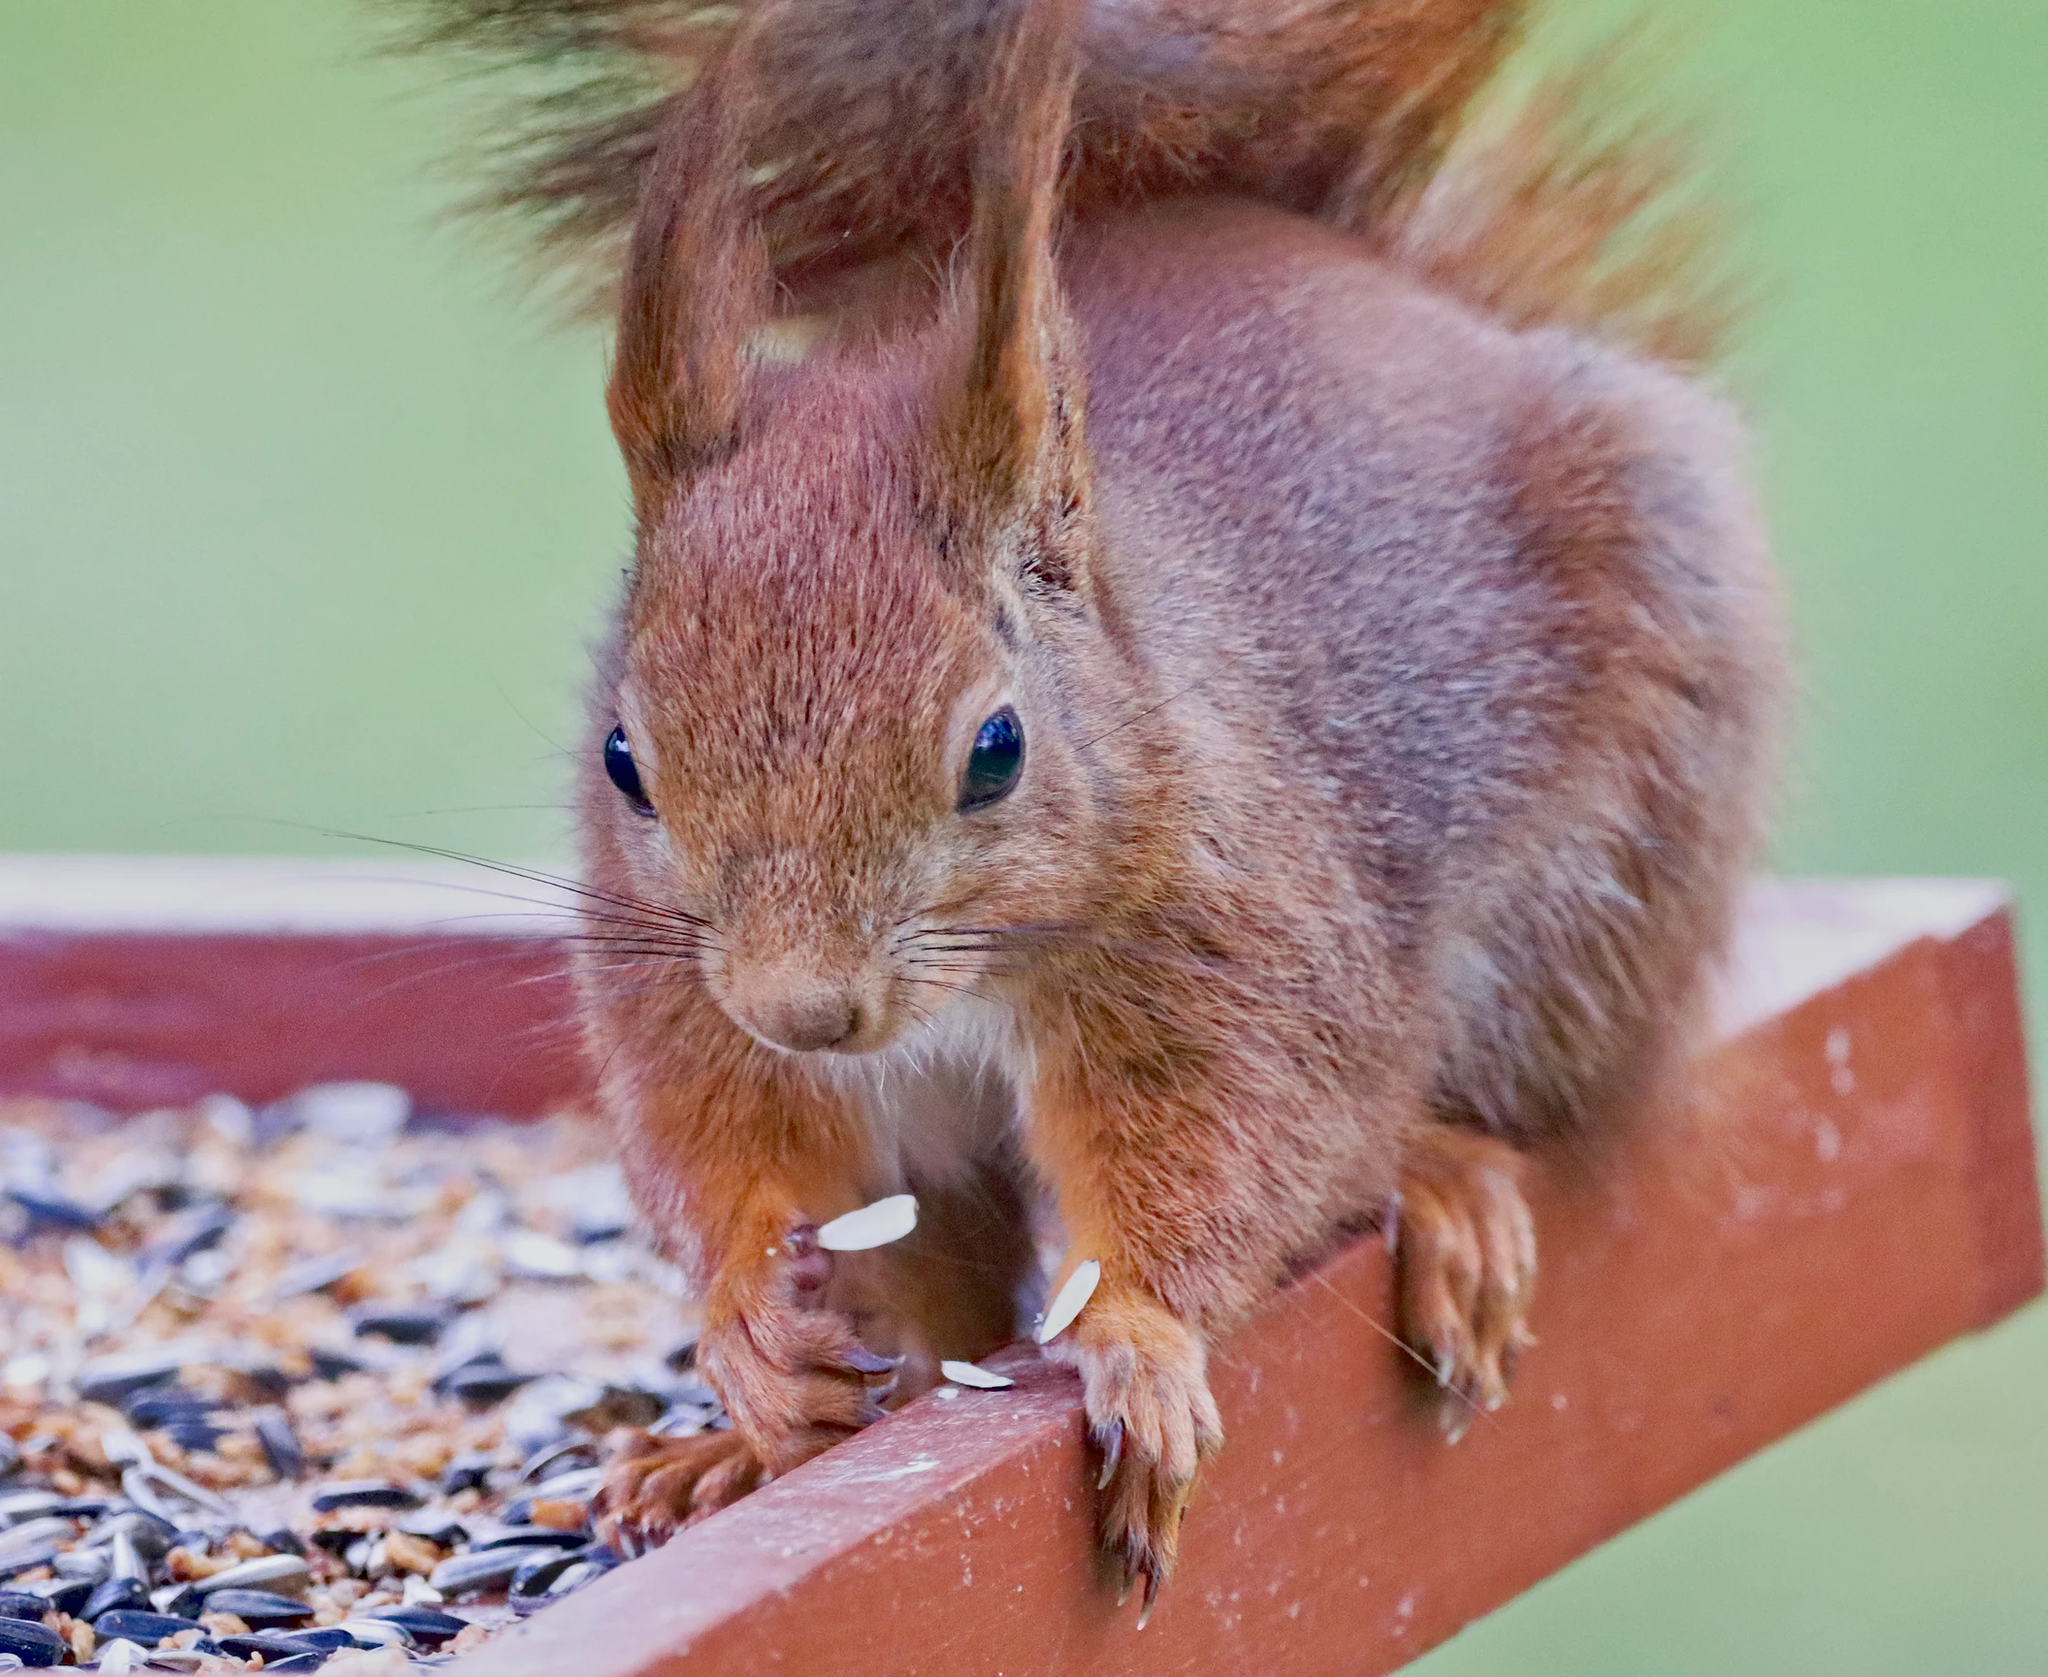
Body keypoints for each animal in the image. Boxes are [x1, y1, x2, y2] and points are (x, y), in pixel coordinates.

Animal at [399, 0, 1777, 1613]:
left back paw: (1444, 1186)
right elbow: (717, 1152)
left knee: (1504, 1100)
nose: (807, 1010)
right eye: (622, 758)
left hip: (1613, 864)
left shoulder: (1235, 952)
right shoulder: (679, 992)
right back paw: (745, 1455)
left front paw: (1136, 1345)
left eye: (995, 749)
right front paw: (746, 1336)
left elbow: (1222, 1152)